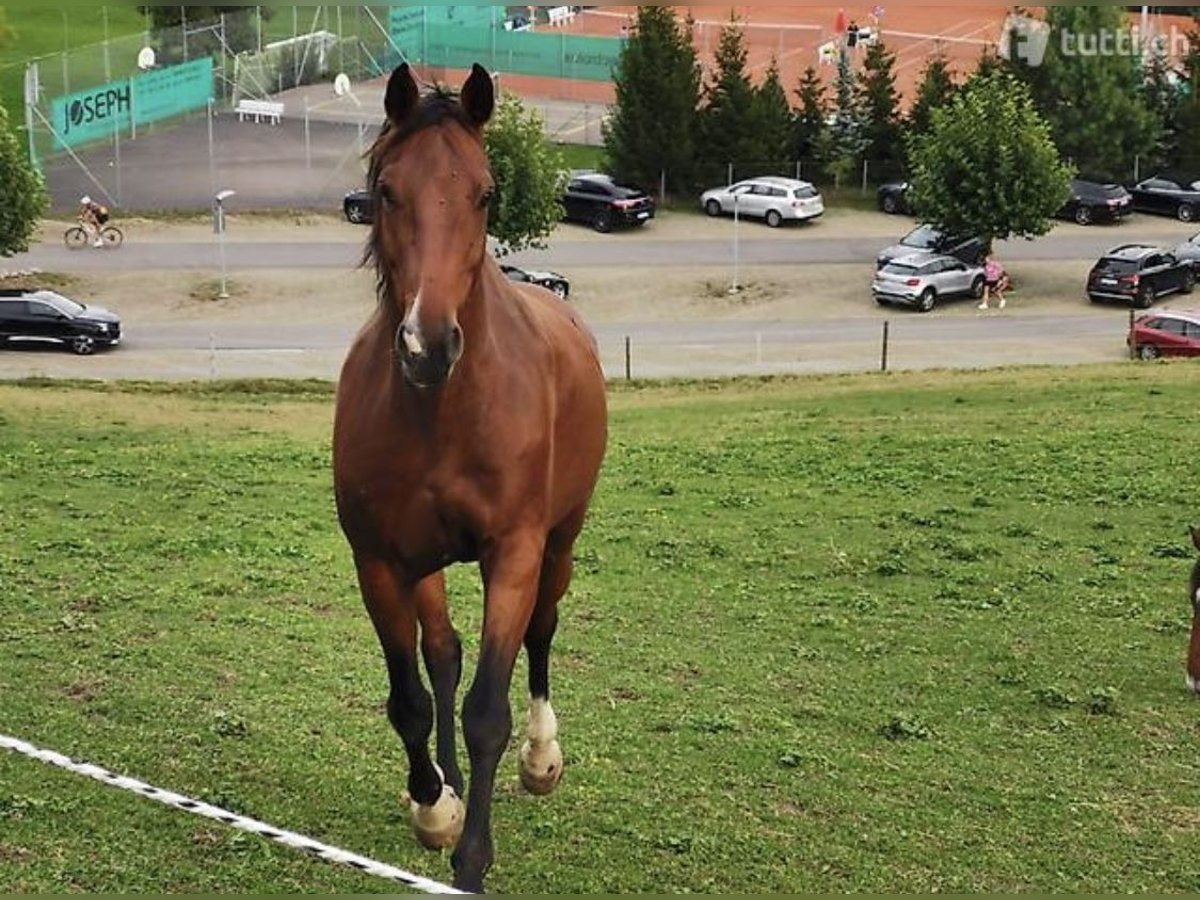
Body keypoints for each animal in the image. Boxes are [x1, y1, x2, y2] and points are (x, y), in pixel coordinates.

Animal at [331, 65, 604, 897]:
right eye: (388, 191)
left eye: (485, 193)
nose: (428, 344)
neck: (441, 414)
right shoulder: (381, 562)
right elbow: (413, 698)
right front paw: (435, 808)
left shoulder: (512, 553)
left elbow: (488, 710)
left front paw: (472, 858)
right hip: (427, 564)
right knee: (443, 655)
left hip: (560, 542)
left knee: (542, 632)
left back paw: (543, 759)